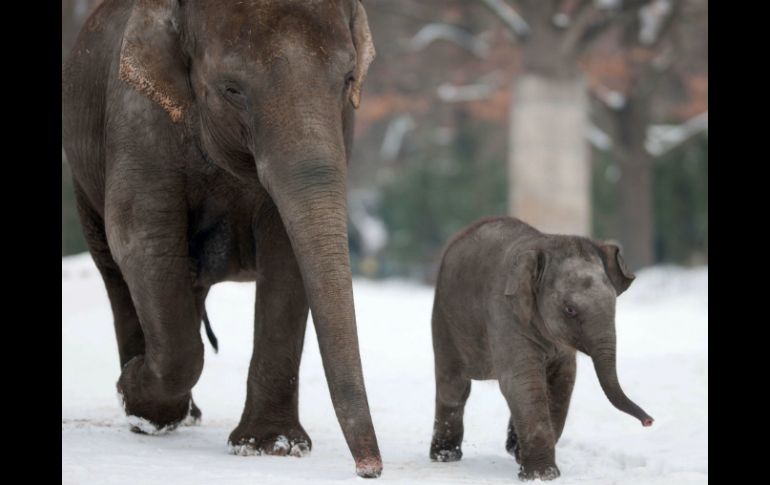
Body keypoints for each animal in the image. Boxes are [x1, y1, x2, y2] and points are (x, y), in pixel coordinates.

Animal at [63, 0, 380, 476]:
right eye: (232, 89)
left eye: (346, 80)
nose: (370, 468)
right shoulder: (137, 116)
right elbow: (142, 235)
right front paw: (134, 396)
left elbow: (287, 253)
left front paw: (271, 447)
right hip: (83, 178)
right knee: (116, 271)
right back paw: (146, 409)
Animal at [428, 216, 652, 480]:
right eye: (569, 310)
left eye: (614, 304)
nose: (649, 422)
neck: (545, 243)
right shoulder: (505, 314)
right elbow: (522, 382)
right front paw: (542, 475)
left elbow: (562, 383)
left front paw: (522, 460)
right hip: (445, 320)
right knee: (453, 387)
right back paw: (445, 456)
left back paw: (510, 448)